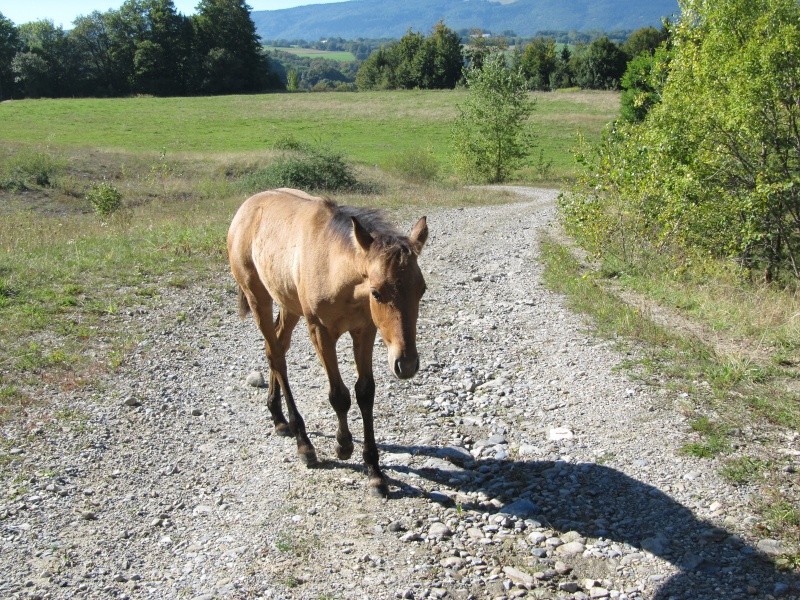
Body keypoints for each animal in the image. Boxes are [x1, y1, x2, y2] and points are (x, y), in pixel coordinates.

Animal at [228, 189, 428, 496]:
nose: (406, 364)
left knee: (277, 347)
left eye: (422, 289)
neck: (335, 270)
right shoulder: (321, 332)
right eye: (377, 292)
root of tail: (246, 207)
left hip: (289, 304)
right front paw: (343, 445)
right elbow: (339, 395)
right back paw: (303, 443)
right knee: (276, 356)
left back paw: (278, 417)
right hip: (258, 298)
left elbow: (364, 393)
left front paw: (375, 471)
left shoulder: (364, 330)